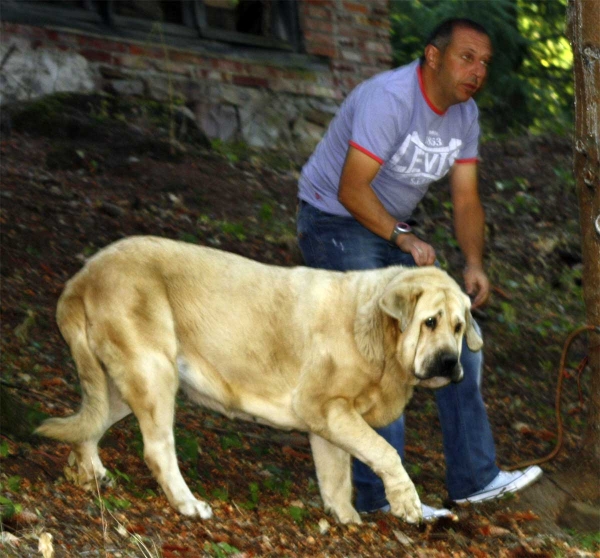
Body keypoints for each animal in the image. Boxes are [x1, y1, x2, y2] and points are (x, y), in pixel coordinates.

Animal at [36, 236, 482, 524]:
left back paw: (90, 474)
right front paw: (406, 502)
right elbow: (385, 452)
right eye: (430, 322)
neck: (376, 333)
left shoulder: (326, 423)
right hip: (154, 370)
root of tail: (84, 275)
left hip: (123, 381)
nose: (449, 363)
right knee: (158, 450)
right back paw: (188, 504)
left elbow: (336, 477)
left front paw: (346, 519)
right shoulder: (326, 407)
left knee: (90, 425)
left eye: (459, 327)